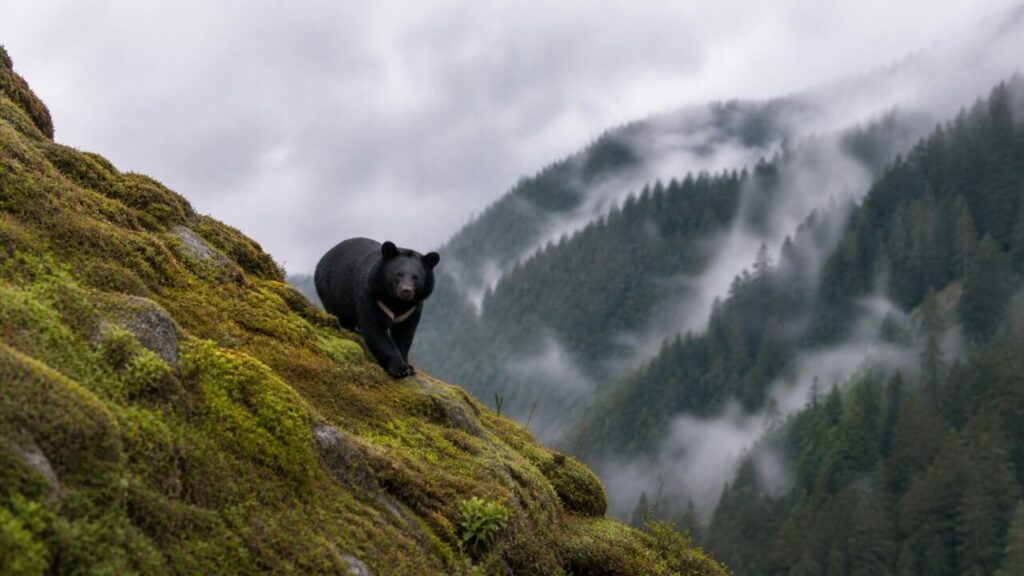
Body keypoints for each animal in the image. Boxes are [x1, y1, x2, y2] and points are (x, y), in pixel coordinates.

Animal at [314, 238, 440, 378]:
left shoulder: (412, 308)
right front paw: (400, 369)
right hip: (331, 291)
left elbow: (404, 335)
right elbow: (375, 329)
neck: (397, 300)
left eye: (415, 277)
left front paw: (409, 367)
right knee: (341, 315)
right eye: (399, 274)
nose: (406, 291)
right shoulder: (373, 296)